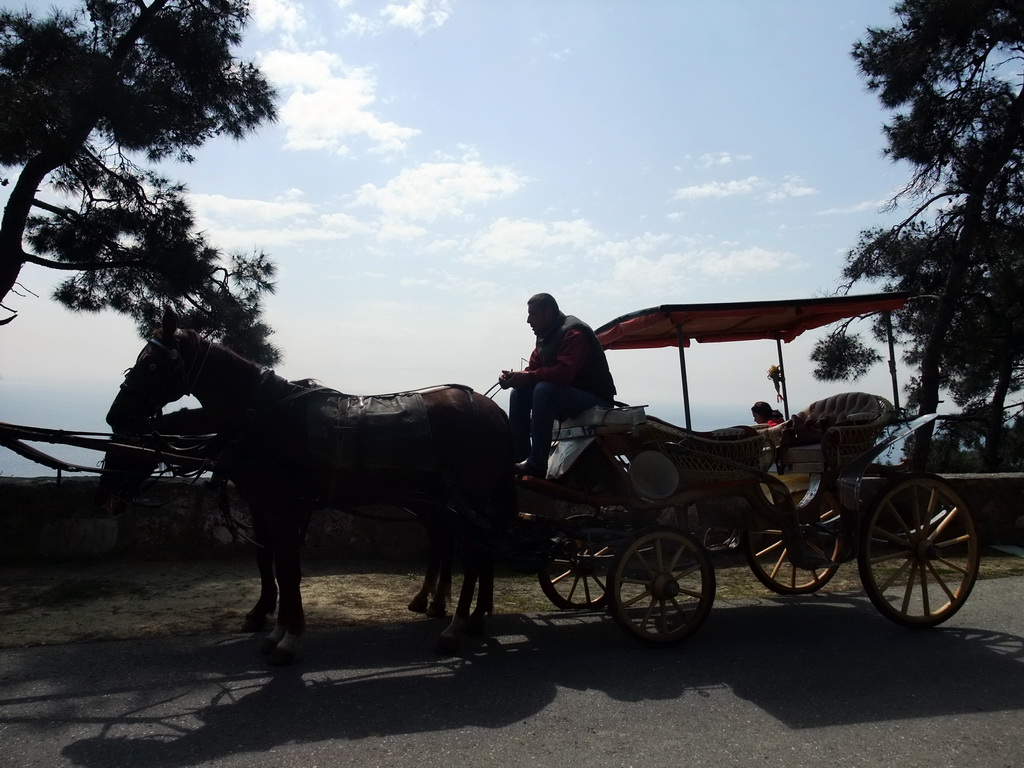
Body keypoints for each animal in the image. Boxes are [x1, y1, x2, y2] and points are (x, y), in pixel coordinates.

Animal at [99, 309, 516, 663]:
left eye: (151, 364)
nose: (116, 414)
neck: (263, 414)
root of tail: (493, 410)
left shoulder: (281, 504)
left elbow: (286, 568)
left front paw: (288, 637)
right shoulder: (268, 504)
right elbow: (275, 564)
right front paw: (274, 627)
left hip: (468, 498)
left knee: (474, 554)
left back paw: (456, 626)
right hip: (446, 503)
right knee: (459, 548)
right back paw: (460, 612)